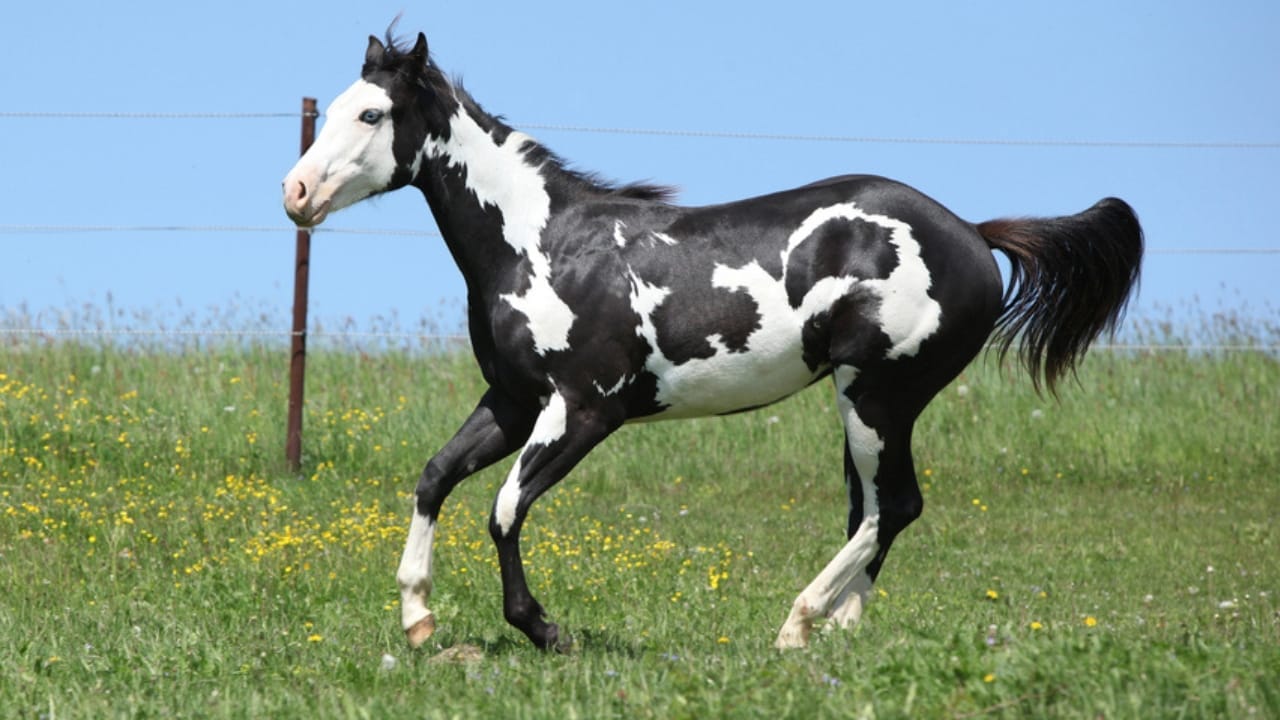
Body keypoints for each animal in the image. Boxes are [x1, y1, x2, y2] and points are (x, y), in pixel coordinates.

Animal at [282, 31, 1143, 652]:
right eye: (336, 107)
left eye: (370, 116)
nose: (295, 192)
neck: (545, 244)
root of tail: (972, 231)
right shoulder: (515, 401)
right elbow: (434, 479)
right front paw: (418, 621)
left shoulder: (585, 410)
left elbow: (502, 509)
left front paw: (543, 629)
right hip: (871, 403)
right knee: (875, 509)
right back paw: (839, 628)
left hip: (877, 392)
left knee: (892, 504)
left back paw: (798, 625)